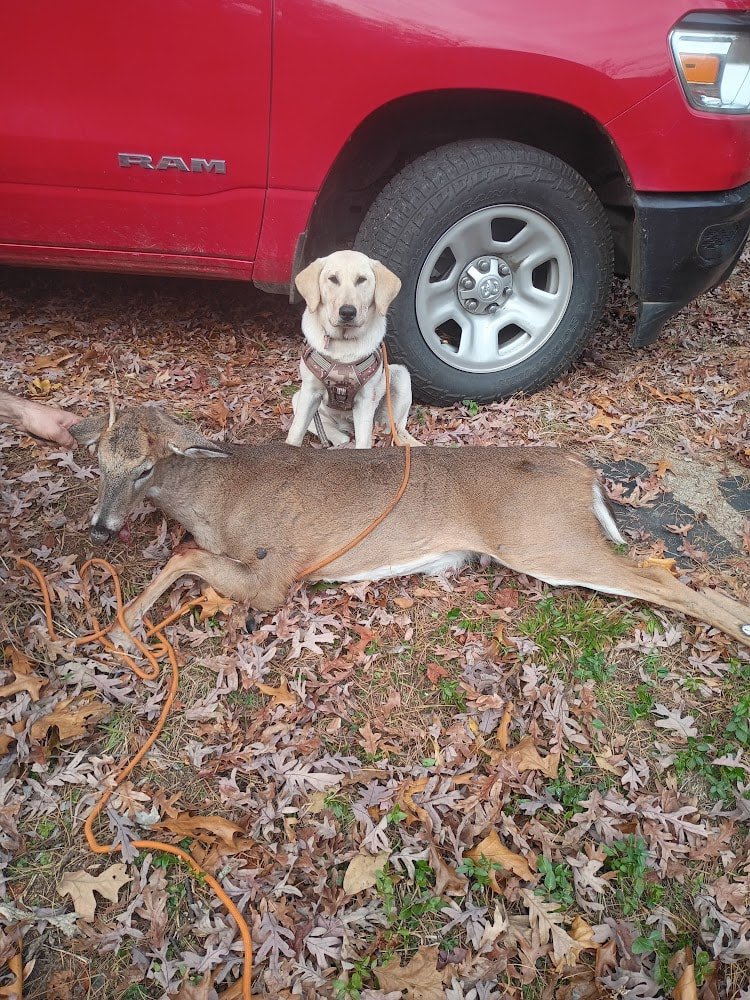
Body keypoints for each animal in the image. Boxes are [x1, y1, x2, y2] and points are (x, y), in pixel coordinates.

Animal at [69, 404, 750, 649]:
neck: (216, 501)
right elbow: (184, 555)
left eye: (145, 467)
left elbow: (182, 557)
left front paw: (126, 625)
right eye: (97, 461)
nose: (100, 529)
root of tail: (583, 471)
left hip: (544, 539)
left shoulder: (277, 572)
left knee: (660, 576)